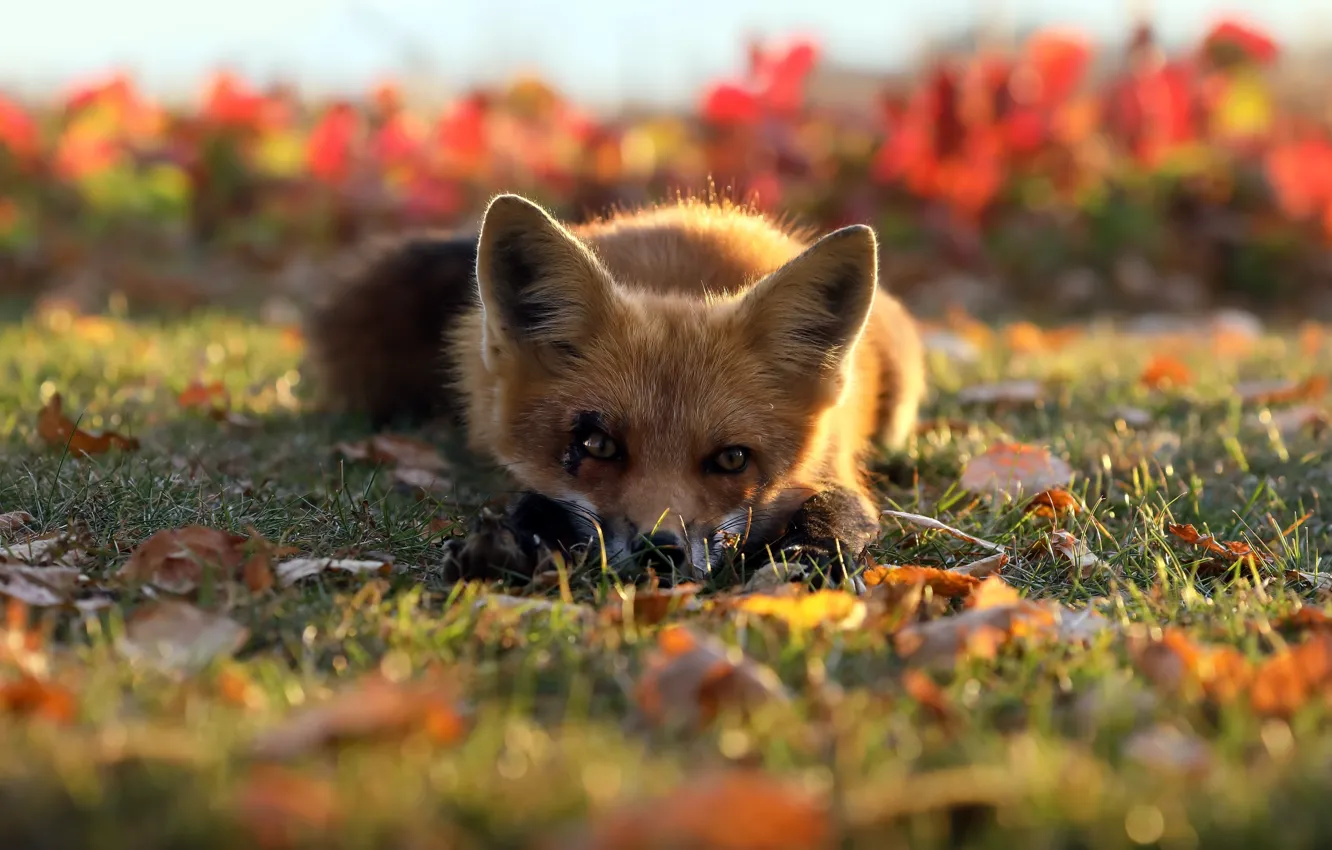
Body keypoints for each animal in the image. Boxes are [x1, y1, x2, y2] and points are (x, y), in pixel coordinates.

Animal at [303, 192, 926, 589]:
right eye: (598, 445)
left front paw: (810, 555)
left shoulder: (835, 467)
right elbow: (537, 501)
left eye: (732, 459)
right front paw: (512, 544)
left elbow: (835, 510)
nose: (660, 551)